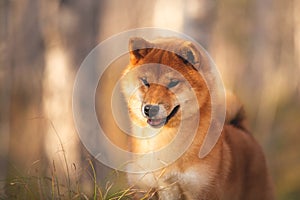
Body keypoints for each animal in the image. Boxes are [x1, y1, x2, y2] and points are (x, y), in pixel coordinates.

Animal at [119, 37, 272, 198]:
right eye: (145, 82)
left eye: (173, 83)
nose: (150, 109)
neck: (162, 142)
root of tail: (242, 130)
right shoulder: (144, 190)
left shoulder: (201, 191)